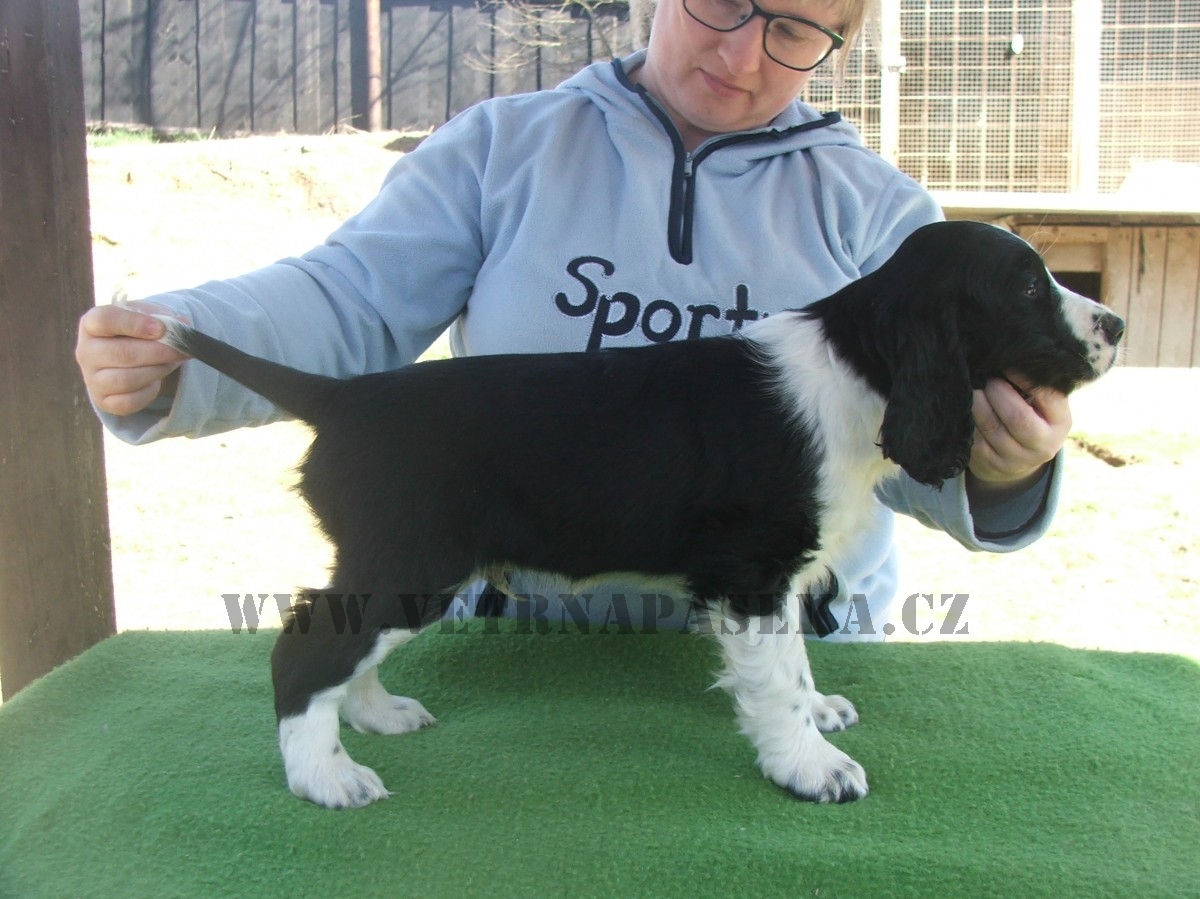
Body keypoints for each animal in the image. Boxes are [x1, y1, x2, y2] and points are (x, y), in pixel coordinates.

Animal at [154, 221, 1123, 808]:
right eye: (1029, 291)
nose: (1114, 322)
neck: (858, 367)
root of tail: (345, 396)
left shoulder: (781, 574)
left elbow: (796, 663)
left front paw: (820, 712)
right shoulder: (753, 570)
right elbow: (774, 678)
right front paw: (810, 767)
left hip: (404, 567)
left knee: (341, 643)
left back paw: (376, 713)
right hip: (412, 561)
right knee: (302, 647)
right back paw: (328, 776)